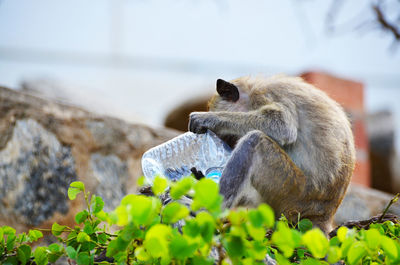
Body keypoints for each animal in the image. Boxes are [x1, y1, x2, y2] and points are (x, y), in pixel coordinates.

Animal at [188, 73, 356, 231]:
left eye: (229, 137)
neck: (251, 91)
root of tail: (323, 215)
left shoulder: (265, 95)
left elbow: (283, 126)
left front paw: (208, 119)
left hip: (294, 192)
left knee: (254, 141)